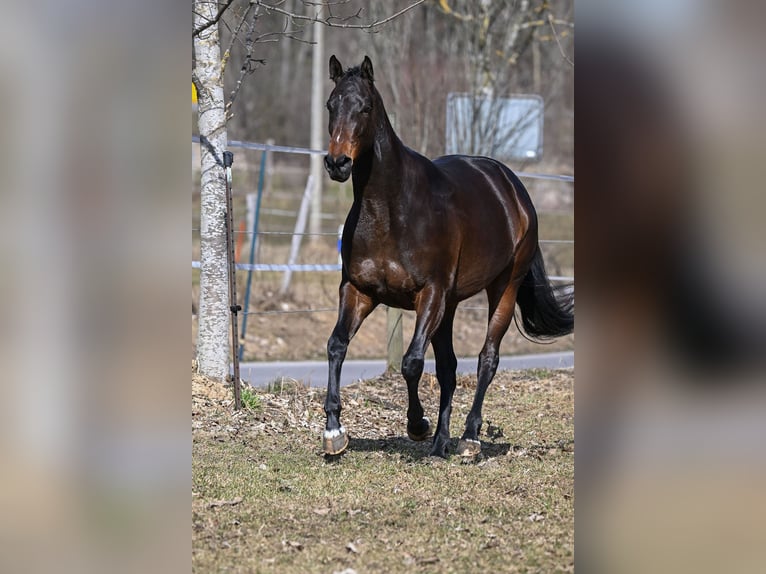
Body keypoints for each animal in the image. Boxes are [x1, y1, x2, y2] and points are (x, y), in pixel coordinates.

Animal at [322, 55, 573, 458]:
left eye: (365, 107)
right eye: (331, 105)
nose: (337, 163)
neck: (391, 209)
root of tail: (513, 188)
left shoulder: (430, 294)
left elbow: (411, 363)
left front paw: (417, 425)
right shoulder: (359, 291)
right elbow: (336, 346)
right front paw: (334, 431)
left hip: (502, 289)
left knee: (487, 359)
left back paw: (469, 438)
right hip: (450, 306)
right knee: (449, 368)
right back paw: (442, 442)